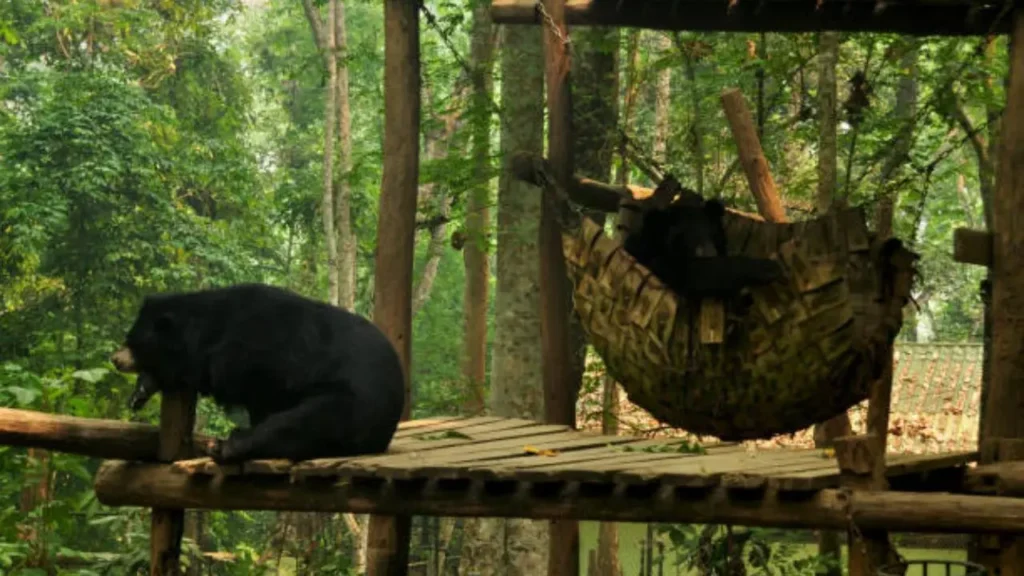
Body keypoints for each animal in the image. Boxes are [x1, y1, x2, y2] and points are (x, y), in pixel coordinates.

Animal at [109, 283, 406, 464]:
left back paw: (226, 446)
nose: (115, 360)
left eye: (132, 342)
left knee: (303, 423)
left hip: (351, 404)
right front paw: (140, 392)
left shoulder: (256, 354)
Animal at [623, 183, 783, 299]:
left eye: (710, 233)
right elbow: (692, 274)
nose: (706, 253)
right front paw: (769, 268)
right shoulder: (655, 257)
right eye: (678, 238)